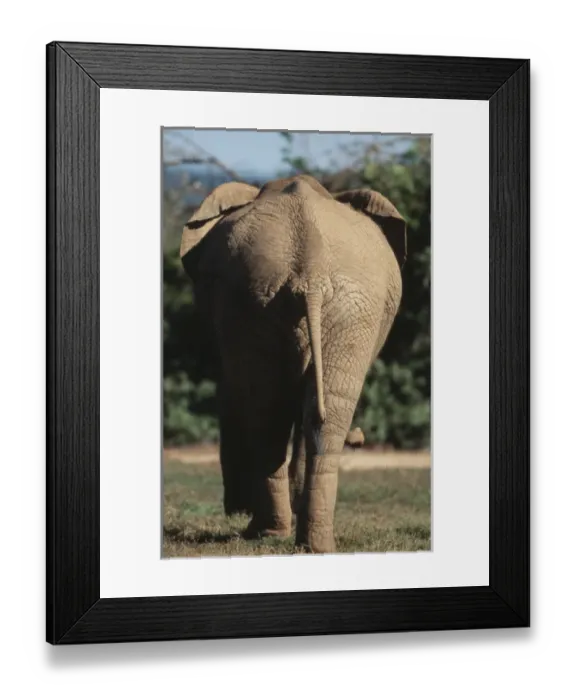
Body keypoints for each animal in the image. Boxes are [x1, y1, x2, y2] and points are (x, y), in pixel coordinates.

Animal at [179, 173, 406, 554]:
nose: (361, 439)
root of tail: (310, 274)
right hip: (273, 303)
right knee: (298, 412)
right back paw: (298, 540)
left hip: (311, 308)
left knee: (278, 411)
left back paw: (277, 535)